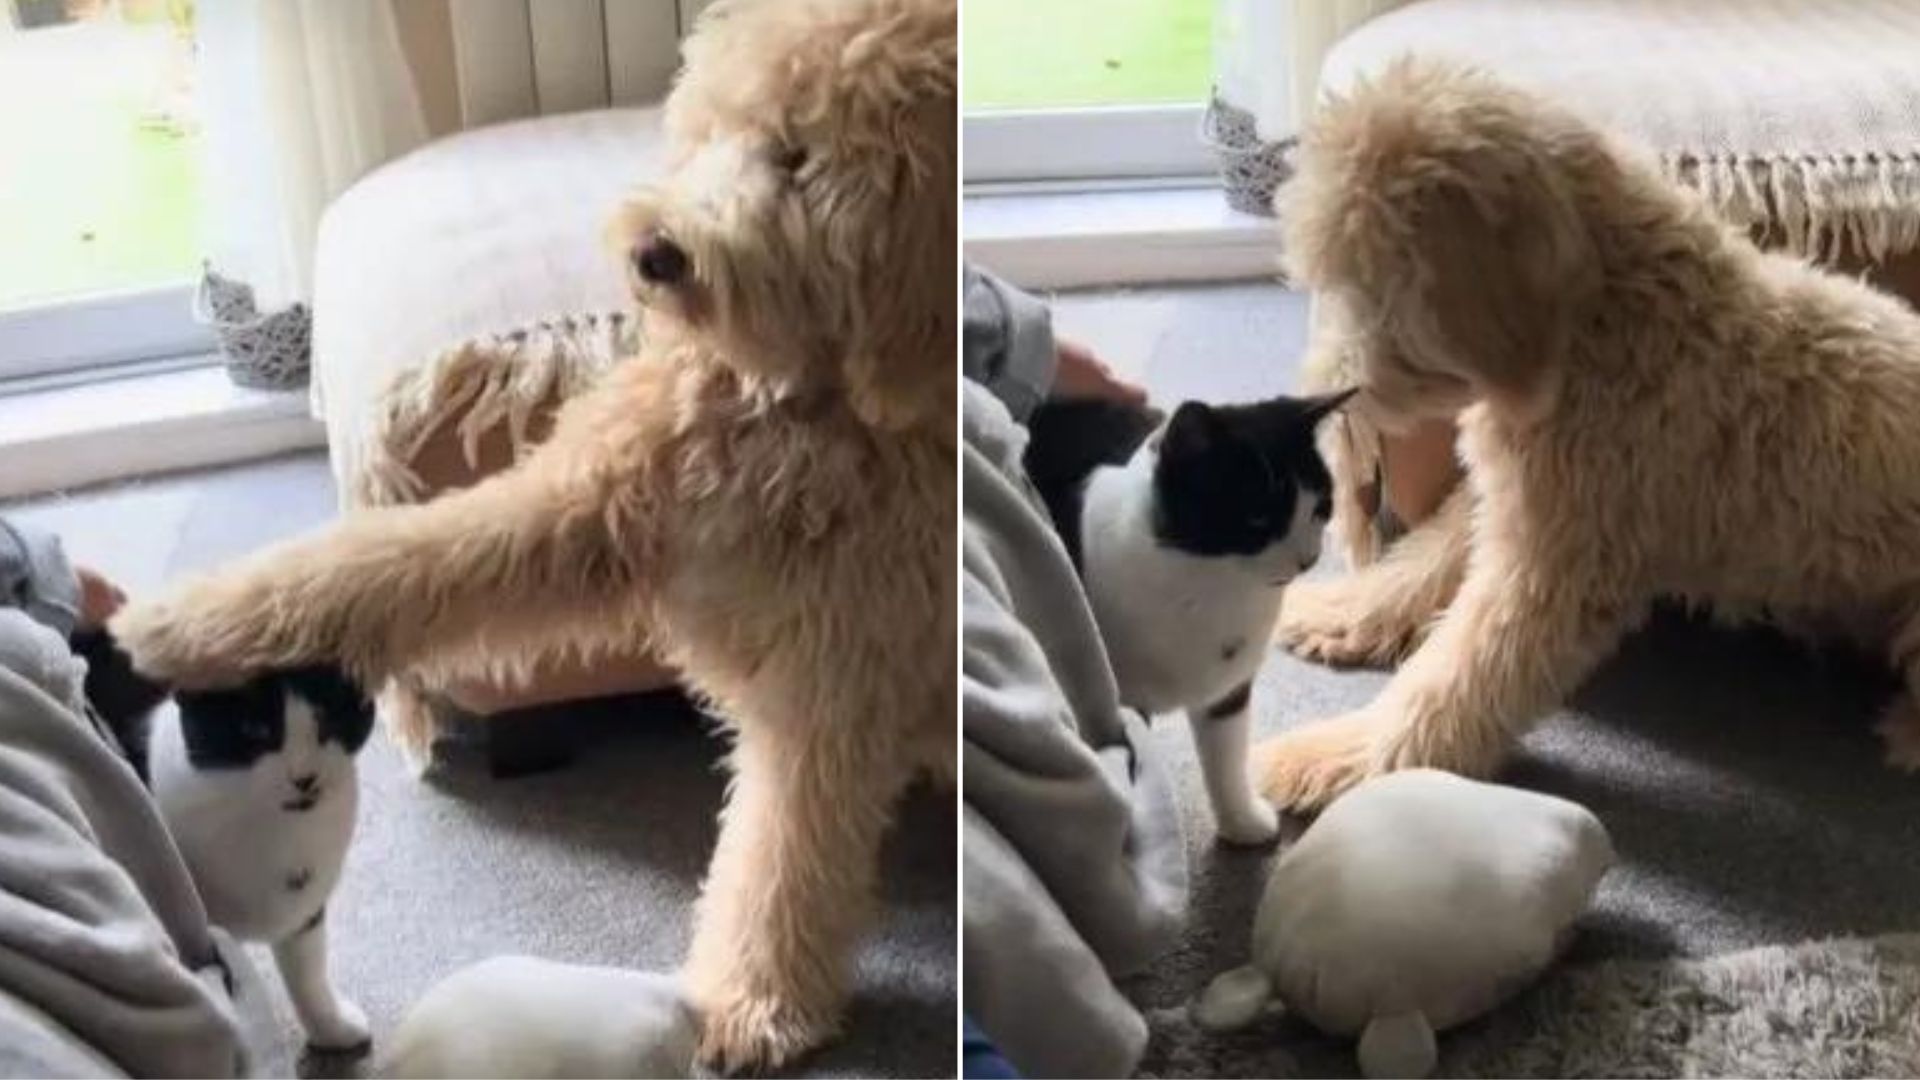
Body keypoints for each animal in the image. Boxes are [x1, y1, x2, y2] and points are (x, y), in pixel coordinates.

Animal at [145, 661, 374, 1045]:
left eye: (327, 719)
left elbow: (307, 969)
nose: (304, 778)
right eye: (255, 729)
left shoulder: (304, 903)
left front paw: (332, 1028)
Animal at [1036, 390, 1351, 845]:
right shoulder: (1116, 699)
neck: (1209, 581)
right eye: (1256, 516)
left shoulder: (1229, 686)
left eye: (1321, 508)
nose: (1308, 560)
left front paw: (1243, 823)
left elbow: (1227, 756)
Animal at [1251, 54, 1920, 803]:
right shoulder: (1516, 502)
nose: (1320, 393)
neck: (1599, 323)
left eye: (1369, 282)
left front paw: (1341, 758)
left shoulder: (1558, 565)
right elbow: (1420, 562)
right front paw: (1341, 610)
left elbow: (1455, 682)